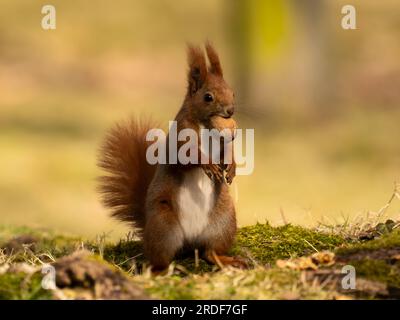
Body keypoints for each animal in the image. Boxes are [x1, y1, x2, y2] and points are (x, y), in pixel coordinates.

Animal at [99, 42, 244, 272]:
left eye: (233, 92)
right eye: (208, 97)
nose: (230, 111)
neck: (207, 124)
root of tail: (190, 241)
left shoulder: (223, 141)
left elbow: (227, 151)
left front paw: (231, 167)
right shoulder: (181, 135)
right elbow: (187, 156)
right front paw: (208, 164)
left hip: (223, 222)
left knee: (209, 252)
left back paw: (226, 260)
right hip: (164, 225)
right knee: (161, 258)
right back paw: (159, 270)